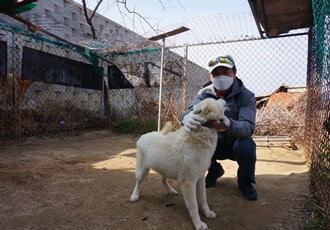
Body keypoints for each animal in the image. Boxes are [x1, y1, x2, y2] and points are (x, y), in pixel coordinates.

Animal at [130, 97, 228, 230]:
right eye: (216, 103)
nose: (225, 100)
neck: (199, 135)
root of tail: (146, 134)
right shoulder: (188, 183)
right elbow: (194, 206)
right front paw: (198, 224)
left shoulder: (200, 178)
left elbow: (203, 199)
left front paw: (207, 212)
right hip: (142, 171)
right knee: (138, 183)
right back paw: (135, 195)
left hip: (164, 168)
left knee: (162, 179)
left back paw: (171, 190)